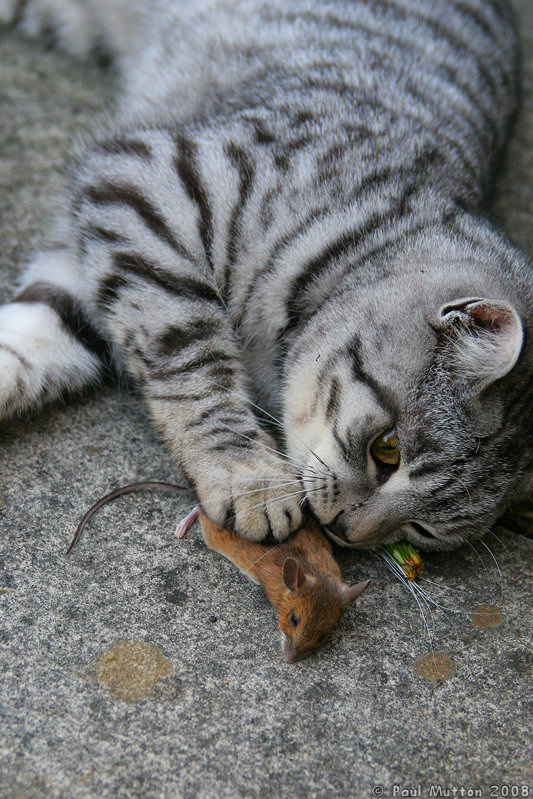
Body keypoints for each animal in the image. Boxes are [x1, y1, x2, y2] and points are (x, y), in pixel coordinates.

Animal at [0, 0, 528, 552]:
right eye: (387, 450)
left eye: (421, 529)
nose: (346, 532)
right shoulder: (151, 188)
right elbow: (195, 361)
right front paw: (246, 475)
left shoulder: (103, 246)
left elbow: (39, 333)